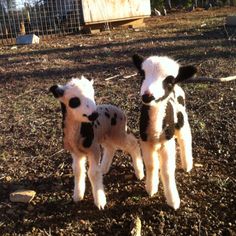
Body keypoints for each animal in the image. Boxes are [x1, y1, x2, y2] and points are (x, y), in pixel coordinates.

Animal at [49, 76, 144, 209]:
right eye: (75, 101)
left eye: (92, 95)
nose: (94, 115)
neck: (77, 132)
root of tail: (119, 110)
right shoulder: (76, 153)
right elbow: (78, 171)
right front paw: (78, 196)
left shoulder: (93, 149)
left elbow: (93, 173)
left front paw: (100, 202)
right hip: (105, 136)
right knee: (110, 148)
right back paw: (103, 168)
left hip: (118, 133)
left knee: (133, 144)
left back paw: (139, 173)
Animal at [132, 54, 196, 209]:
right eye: (142, 74)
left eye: (170, 81)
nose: (147, 96)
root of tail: (179, 87)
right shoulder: (145, 141)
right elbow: (151, 165)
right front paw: (151, 188)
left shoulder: (168, 142)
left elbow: (167, 171)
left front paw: (173, 201)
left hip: (182, 120)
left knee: (185, 139)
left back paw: (187, 165)